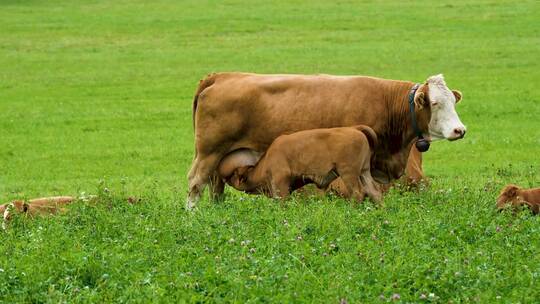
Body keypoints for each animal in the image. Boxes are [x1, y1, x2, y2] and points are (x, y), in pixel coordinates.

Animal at [217, 124, 382, 205]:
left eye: (232, 176)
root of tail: (355, 130)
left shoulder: (281, 183)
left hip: (348, 173)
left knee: (358, 193)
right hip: (364, 172)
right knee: (374, 192)